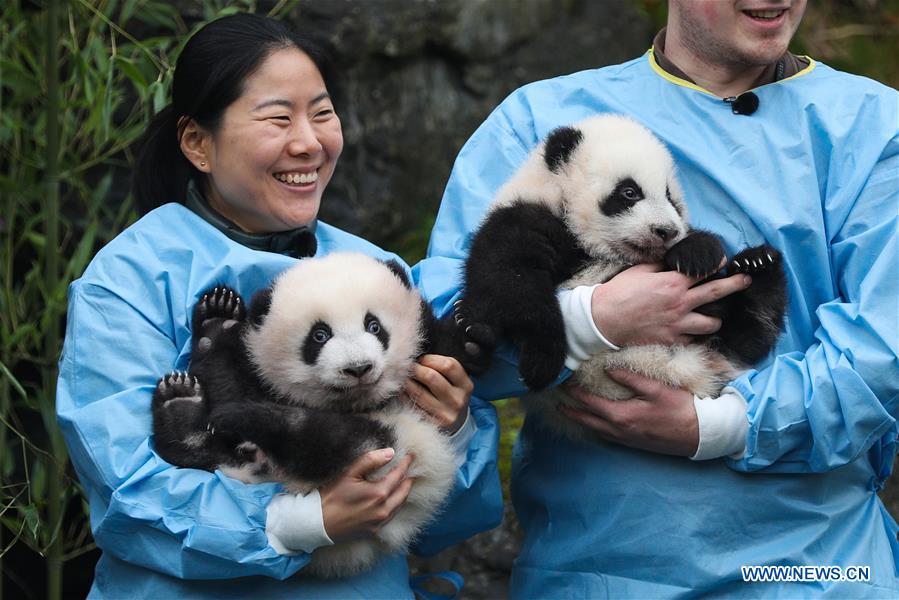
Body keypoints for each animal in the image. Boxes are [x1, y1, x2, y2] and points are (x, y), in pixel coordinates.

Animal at [151, 252, 472, 577]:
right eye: (319, 336)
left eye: (374, 326)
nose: (358, 368)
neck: (357, 403)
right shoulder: (257, 370)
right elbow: (226, 377)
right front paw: (218, 318)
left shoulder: (424, 351)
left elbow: (451, 351)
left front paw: (467, 331)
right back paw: (184, 406)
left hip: (393, 446)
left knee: (318, 437)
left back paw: (242, 416)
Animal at [455, 113, 787, 442]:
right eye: (629, 192)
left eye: (670, 197)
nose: (666, 231)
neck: (601, 250)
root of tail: (691, 370)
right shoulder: (522, 218)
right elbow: (512, 281)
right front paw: (542, 360)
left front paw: (697, 251)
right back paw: (471, 337)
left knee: (749, 334)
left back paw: (759, 265)